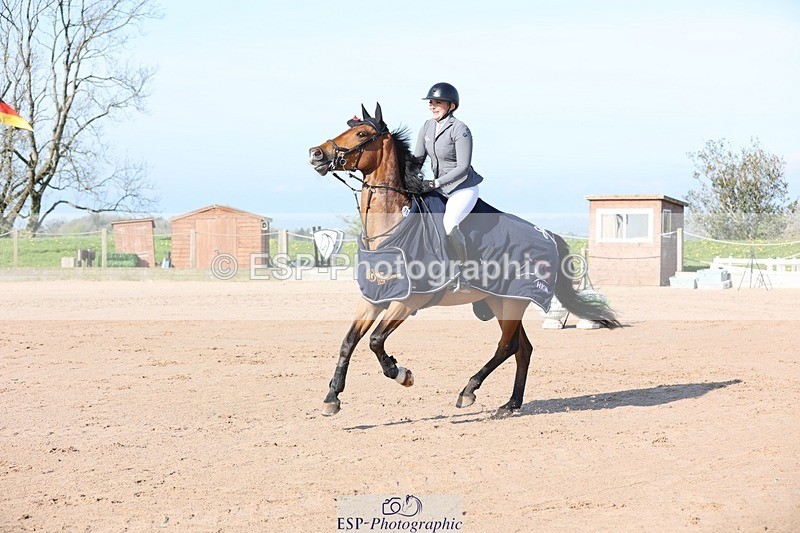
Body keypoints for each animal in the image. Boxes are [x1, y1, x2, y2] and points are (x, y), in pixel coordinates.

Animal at [308, 103, 620, 418]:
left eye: (361, 133)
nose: (316, 153)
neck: (391, 228)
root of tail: (549, 236)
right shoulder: (373, 298)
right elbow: (349, 341)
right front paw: (332, 397)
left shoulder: (409, 300)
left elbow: (375, 341)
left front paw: (402, 374)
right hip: (499, 300)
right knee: (523, 348)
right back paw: (511, 403)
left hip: (512, 301)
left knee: (507, 346)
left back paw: (468, 391)